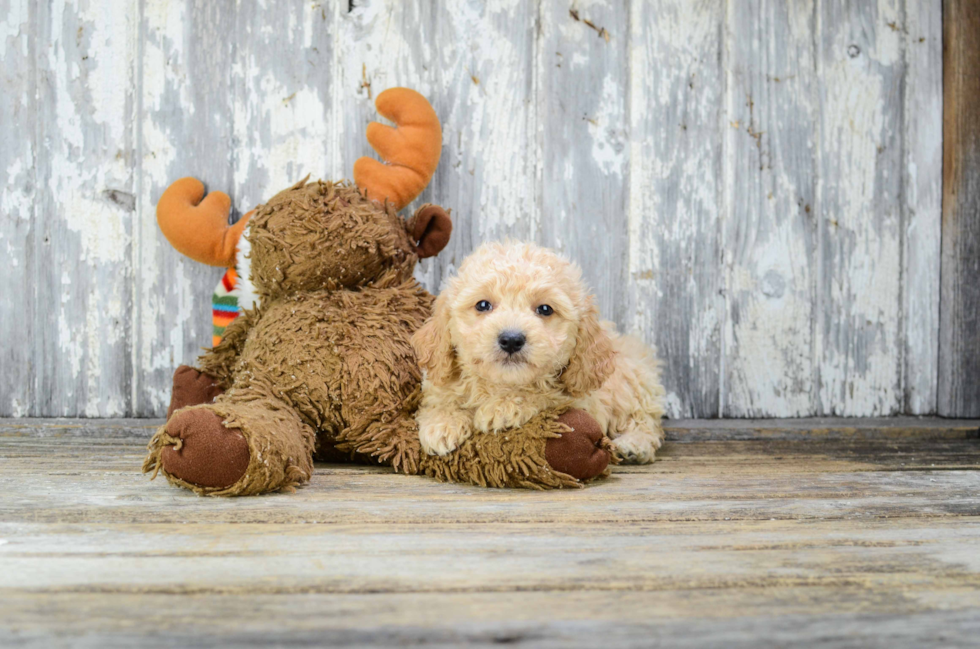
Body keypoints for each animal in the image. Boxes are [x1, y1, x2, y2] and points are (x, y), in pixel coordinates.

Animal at [414, 240, 668, 464]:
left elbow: (545, 396)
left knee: (644, 420)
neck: (501, 384)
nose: (511, 340)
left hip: (632, 383)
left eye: (545, 309)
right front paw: (442, 423)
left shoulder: (583, 401)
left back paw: (634, 445)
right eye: (483, 305)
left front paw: (504, 408)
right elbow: (442, 400)